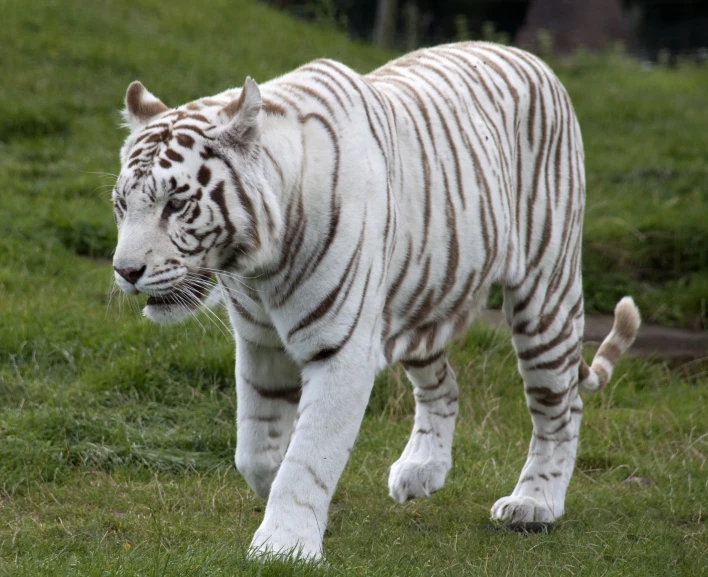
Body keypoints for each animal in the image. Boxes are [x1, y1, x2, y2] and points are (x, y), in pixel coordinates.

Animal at [112, 41, 640, 560]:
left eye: (176, 204)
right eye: (121, 204)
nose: (125, 271)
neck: (257, 268)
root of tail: (530, 57)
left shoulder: (340, 349)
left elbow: (309, 454)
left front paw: (284, 544)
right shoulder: (260, 344)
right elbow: (256, 451)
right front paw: (297, 510)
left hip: (544, 294)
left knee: (561, 407)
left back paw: (535, 504)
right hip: (420, 298)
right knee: (444, 386)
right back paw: (423, 471)